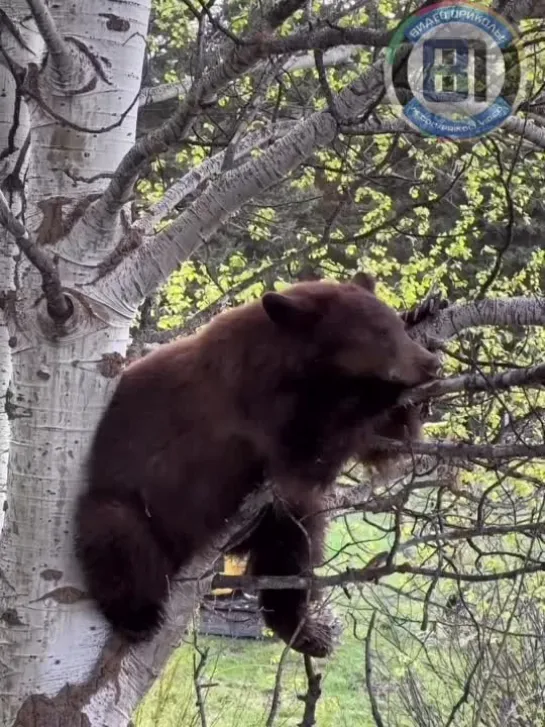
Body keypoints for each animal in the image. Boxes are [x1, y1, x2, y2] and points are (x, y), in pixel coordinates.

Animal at [74, 274, 440, 660]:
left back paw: (306, 630)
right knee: (117, 535)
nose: (430, 364)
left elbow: (384, 442)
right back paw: (140, 618)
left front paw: (425, 311)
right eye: (379, 334)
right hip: (133, 503)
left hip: (269, 517)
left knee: (293, 547)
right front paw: (380, 390)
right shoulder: (253, 405)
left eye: (394, 326)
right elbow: (311, 448)